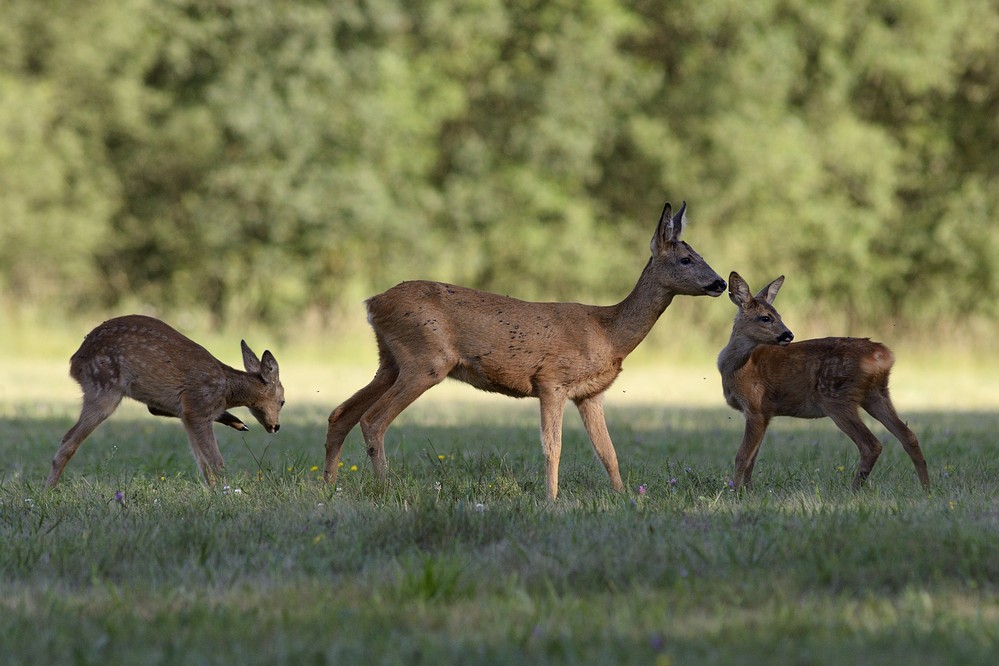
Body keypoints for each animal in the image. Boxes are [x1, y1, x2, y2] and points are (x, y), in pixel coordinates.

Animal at [50, 314, 286, 486]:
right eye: (283, 401)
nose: (275, 426)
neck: (227, 390)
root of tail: (74, 361)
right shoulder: (197, 407)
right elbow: (215, 461)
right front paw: (228, 493)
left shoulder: (183, 410)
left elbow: (202, 463)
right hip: (104, 387)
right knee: (69, 440)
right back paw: (48, 491)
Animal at [328, 202, 728, 498]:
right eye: (686, 260)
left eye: (700, 254)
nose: (721, 283)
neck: (608, 333)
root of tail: (372, 303)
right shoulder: (551, 381)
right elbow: (554, 447)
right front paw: (551, 500)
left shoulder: (591, 394)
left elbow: (608, 452)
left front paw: (624, 497)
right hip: (425, 360)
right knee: (373, 419)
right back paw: (384, 488)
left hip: (390, 361)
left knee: (340, 413)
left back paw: (328, 486)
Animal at [720, 268, 928, 488]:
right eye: (766, 318)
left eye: (777, 316)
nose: (788, 334)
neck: (738, 367)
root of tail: (883, 355)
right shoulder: (766, 413)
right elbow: (753, 458)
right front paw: (747, 489)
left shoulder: (755, 407)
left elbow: (742, 457)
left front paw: (735, 491)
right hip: (876, 393)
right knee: (909, 436)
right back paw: (926, 487)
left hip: (836, 397)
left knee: (871, 444)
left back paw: (853, 489)